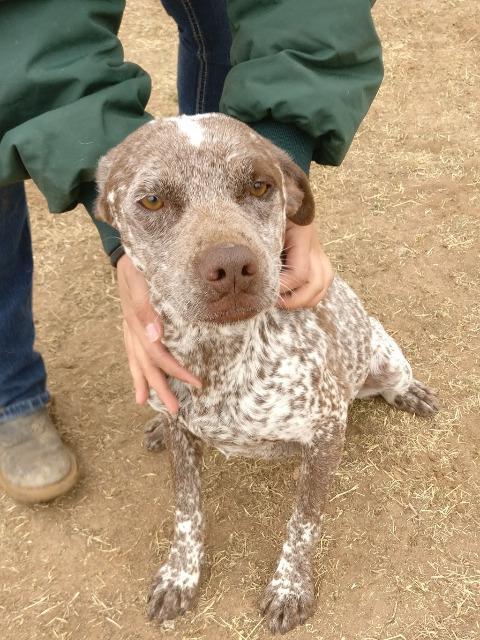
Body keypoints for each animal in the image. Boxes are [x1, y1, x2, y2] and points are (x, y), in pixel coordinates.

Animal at [94, 114, 438, 632]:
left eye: (259, 186)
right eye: (152, 200)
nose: (233, 266)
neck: (219, 355)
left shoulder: (325, 434)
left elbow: (303, 524)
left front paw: (290, 587)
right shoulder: (184, 435)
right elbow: (186, 512)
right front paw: (180, 575)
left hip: (386, 358)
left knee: (392, 382)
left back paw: (409, 393)